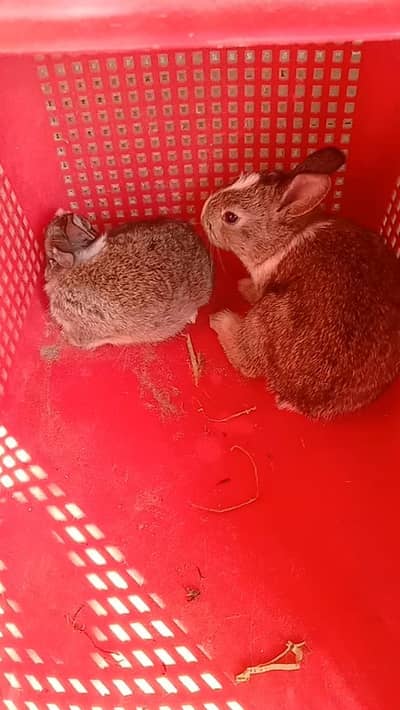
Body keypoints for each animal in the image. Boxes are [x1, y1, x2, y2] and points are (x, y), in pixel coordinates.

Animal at [201, 147, 400, 419]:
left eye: (230, 217)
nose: (203, 213)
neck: (286, 238)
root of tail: (300, 400)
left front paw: (243, 287)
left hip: (267, 314)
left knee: (248, 362)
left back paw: (220, 319)